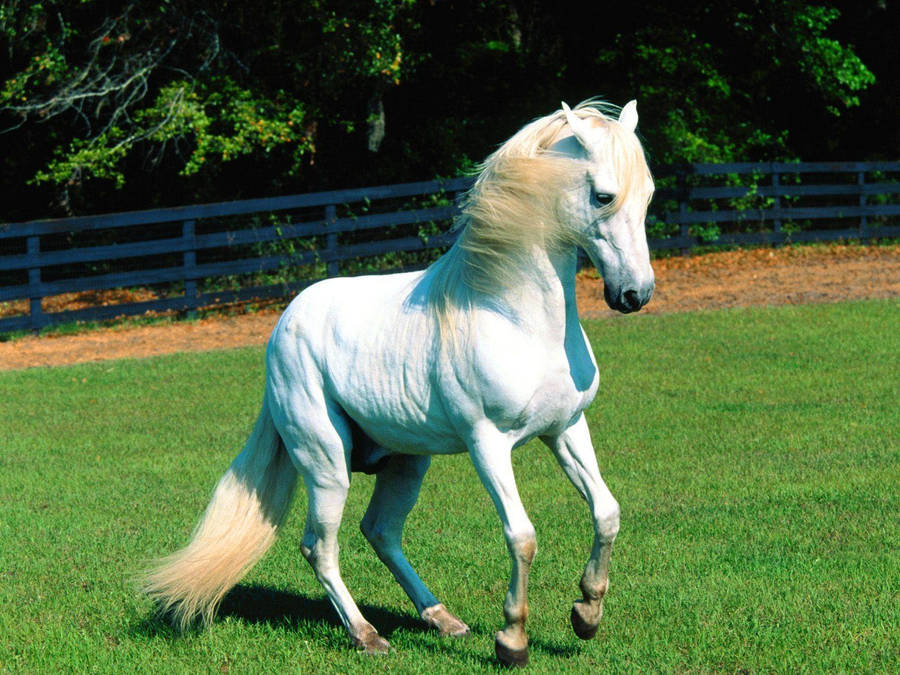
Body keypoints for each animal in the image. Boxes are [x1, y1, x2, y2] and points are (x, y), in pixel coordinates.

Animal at [143, 99, 655, 667]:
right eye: (603, 195)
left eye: (649, 193)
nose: (635, 295)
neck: (516, 318)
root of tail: (285, 324)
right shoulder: (488, 444)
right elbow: (521, 536)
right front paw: (512, 641)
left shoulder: (565, 428)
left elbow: (606, 513)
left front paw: (586, 615)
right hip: (326, 464)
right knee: (319, 546)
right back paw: (366, 635)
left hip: (408, 462)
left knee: (381, 531)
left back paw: (443, 620)